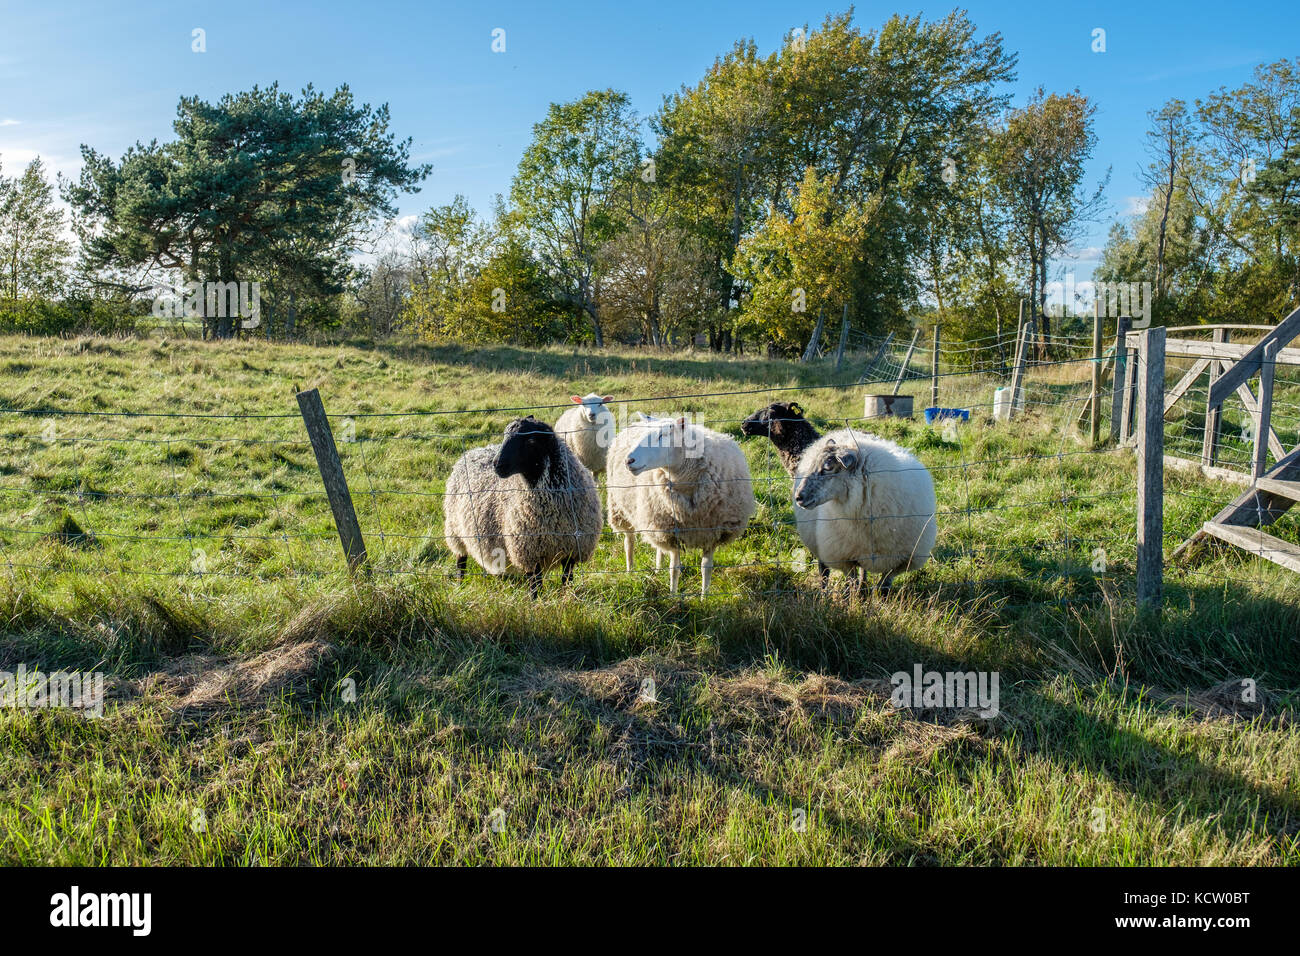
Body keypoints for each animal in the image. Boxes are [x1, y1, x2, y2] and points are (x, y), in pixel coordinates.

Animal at [444, 413, 600, 595]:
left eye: (531, 441)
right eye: (505, 435)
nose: (497, 464)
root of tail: (472, 452)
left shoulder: (572, 550)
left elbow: (566, 579)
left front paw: (567, 596)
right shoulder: (529, 552)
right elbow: (535, 585)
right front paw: (536, 601)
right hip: (455, 530)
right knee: (460, 561)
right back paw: (459, 585)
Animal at [603, 416, 759, 595]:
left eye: (662, 435)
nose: (628, 461)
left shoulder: (712, 533)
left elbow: (706, 568)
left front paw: (705, 596)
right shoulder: (673, 534)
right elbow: (674, 569)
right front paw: (673, 596)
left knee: (659, 549)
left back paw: (657, 570)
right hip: (621, 509)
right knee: (629, 542)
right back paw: (630, 571)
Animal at [790, 429, 935, 595]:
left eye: (828, 468)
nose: (798, 497)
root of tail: (844, 431)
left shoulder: (902, 560)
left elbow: (884, 585)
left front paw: (879, 598)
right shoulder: (844, 557)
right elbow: (851, 581)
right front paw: (854, 598)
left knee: (862, 570)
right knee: (824, 570)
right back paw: (825, 592)